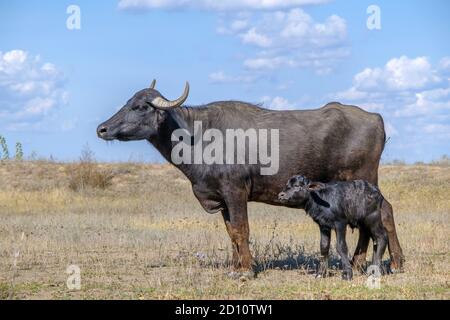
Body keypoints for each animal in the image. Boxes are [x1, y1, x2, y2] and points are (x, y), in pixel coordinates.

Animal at [96, 80, 404, 278]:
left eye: (140, 107)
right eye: (127, 102)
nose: (102, 128)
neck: (199, 136)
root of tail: (375, 118)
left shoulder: (236, 192)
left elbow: (242, 229)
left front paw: (246, 271)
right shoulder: (221, 199)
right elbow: (231, 232)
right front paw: (236, 266)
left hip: (365, 178)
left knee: (382, 213)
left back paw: (384, 263)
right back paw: (371, 262)